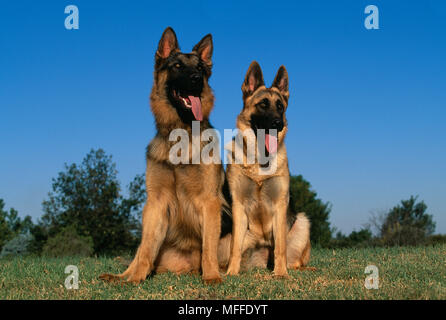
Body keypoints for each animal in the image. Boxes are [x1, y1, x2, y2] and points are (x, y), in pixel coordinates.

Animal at [102, 26, 226, 282]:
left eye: (200, 68)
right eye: (177, 66)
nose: (196, 79)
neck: (180, 135)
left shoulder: (210, 201)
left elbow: (209, 246)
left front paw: (211, 277)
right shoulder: (156, 203)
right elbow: (146, 249)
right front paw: (136, 279)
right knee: (141, 251)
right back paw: (122, 276)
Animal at [225, 62, 312, 278]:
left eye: (280, 107)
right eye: (263, 104)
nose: (278, 124)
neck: (260, 161)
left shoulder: (280, 205)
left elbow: (280, 245)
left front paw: (280, 273)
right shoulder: (238, 206)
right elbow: (234, 247)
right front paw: (231, 272)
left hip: (302, 222)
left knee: (294, 260)